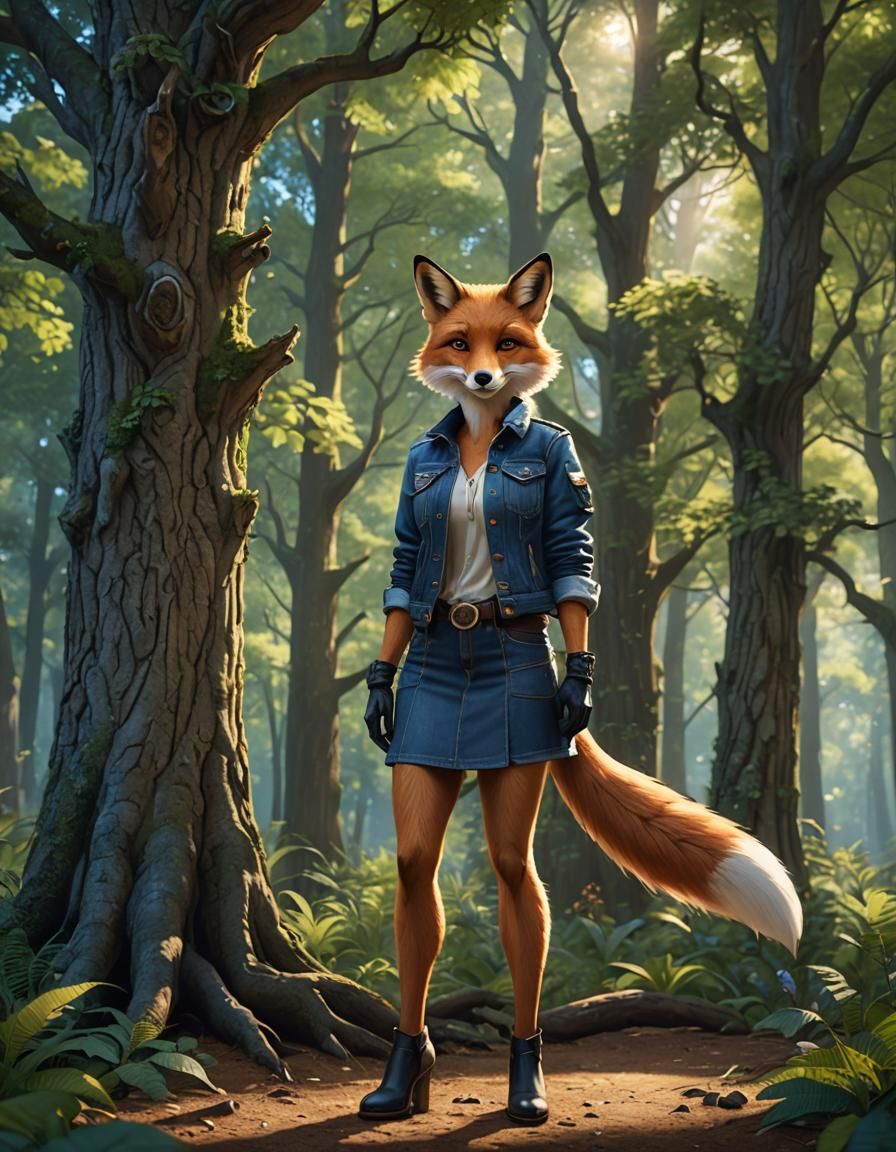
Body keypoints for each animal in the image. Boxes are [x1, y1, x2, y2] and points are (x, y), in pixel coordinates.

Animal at [407, 252, 803, 957]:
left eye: (506, 343)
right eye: (459, 343)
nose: (482, 377)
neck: (481, 439)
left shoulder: (567, 490)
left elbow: (572, 561)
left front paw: (579, 690)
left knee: (518, 875)